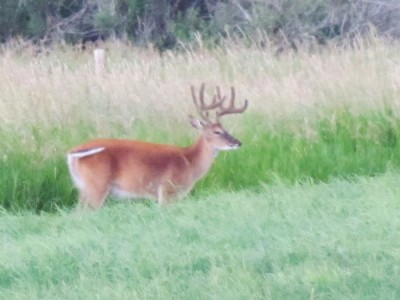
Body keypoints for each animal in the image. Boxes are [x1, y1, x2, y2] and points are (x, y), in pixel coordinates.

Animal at [66, 83, 247, 207]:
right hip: (97, 184)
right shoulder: (168, 189)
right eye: (217, 131)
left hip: (83, 187)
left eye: (225, 129)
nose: (238, 142)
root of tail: (73, 151)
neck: (190, 163)